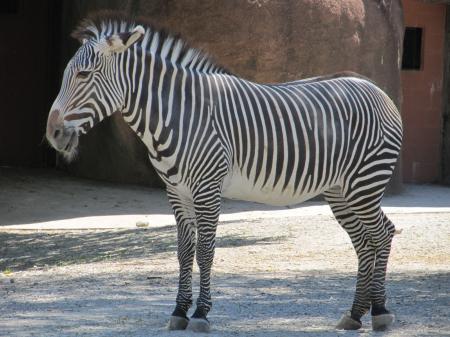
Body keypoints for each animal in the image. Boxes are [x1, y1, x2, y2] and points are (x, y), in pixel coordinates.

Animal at [45, 12, 402, 330]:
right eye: (67, 74)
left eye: (84, 75)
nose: (53, 134)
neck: (179, 115)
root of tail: (374, 87)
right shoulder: (176, 192)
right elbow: (183, 252)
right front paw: (179, 311)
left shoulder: (207, 188)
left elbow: (205, 252)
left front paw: (201, 314)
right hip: (341, 190)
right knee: (364, 241)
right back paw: (355, 315)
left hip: (365, 183)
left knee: (382, 233)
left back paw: (381, 312)